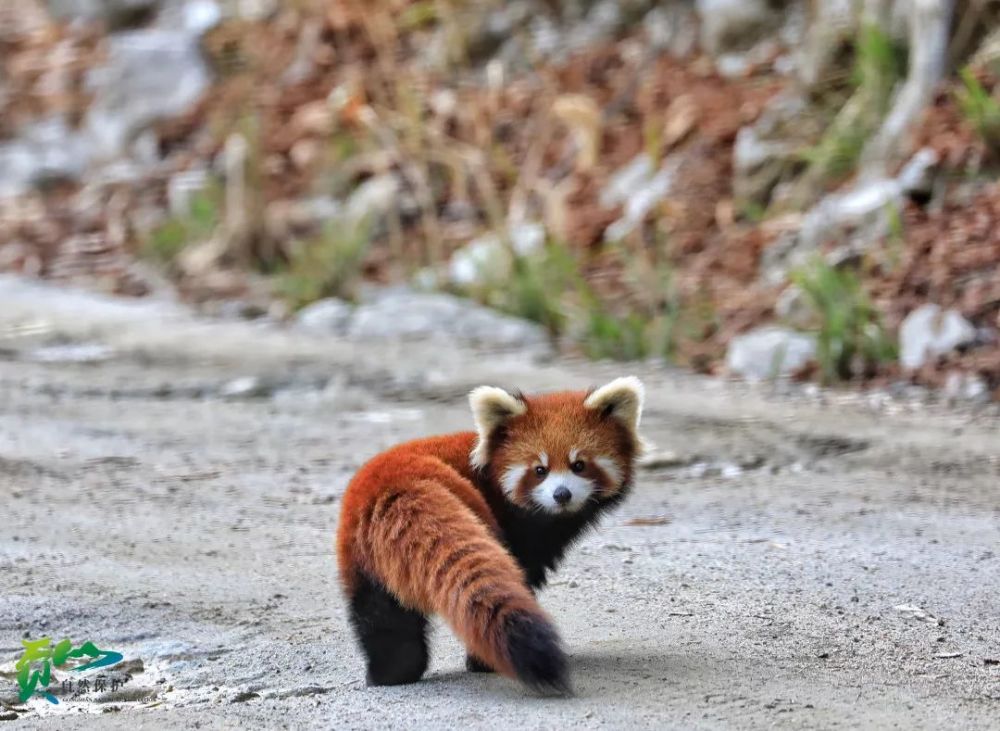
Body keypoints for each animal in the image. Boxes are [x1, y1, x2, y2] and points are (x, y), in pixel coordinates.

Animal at [336, 380, 644, 696]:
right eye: (540, 470)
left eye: (579, 465)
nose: (562, 494)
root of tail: (395, 484)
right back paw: (480, 662)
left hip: (361, 557)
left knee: (380, 615)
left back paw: (392, 672)